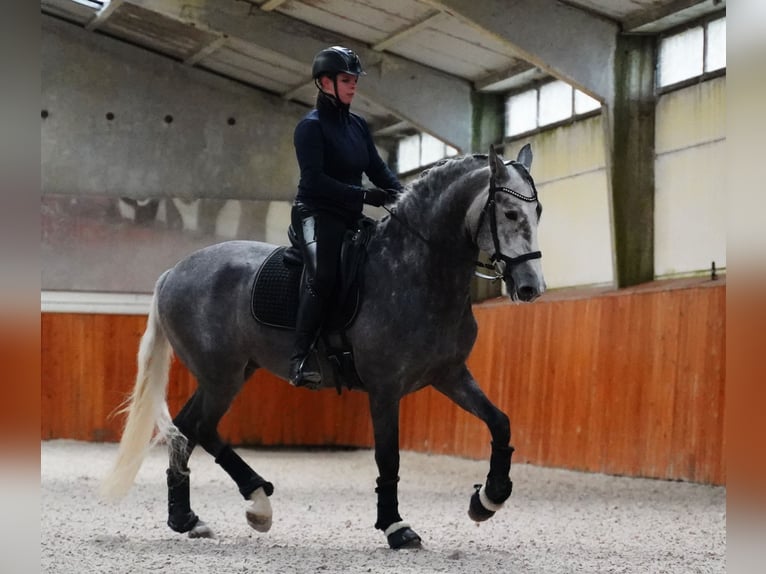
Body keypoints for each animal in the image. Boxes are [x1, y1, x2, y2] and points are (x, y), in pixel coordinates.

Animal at [100, 144, 544, 548]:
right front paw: (396, 527)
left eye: (538, 212)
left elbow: (500, 421)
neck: (416, 270)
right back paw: (245, 504)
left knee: (189, 430)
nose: (530, 288)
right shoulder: (385, 389)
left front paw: (489, 499)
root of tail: (173, 272)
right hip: (220, 375)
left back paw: (197, 517)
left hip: (231, 372)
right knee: (197, 429)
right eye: (509, 213)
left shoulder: (449, 374)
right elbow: (389, 457)